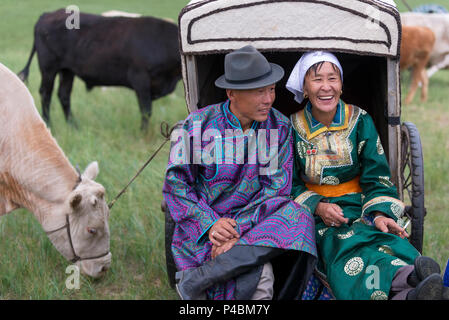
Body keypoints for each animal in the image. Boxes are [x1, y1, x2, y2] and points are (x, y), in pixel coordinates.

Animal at [19, 9, 180, 131]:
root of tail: (48, 14)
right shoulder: (141, 79)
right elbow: (146, 111)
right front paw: (144, 133)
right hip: (48, 68)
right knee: (46, 94)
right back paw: (48, 124)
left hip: (67, 70)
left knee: (63, 95)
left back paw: (73, 126)